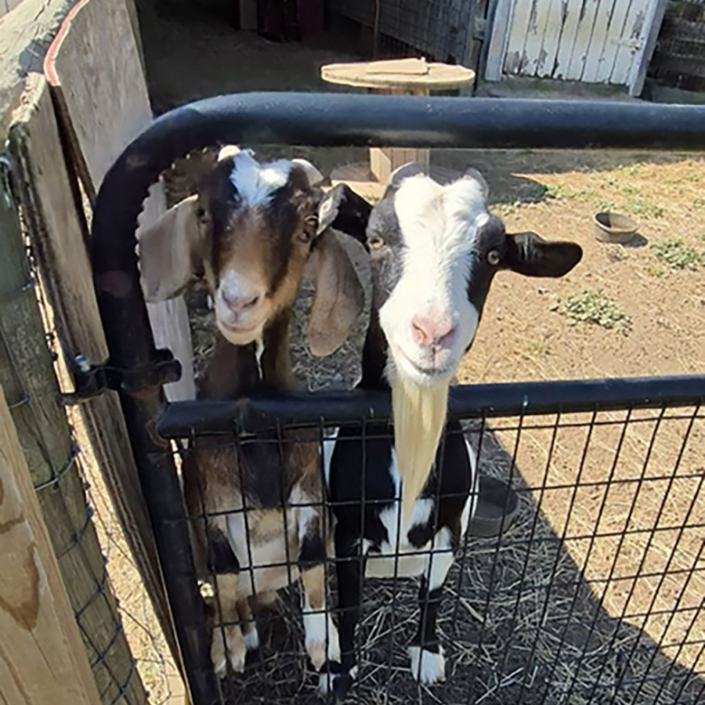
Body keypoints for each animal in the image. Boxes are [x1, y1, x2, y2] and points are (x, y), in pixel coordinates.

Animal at [138, 147, 366, 678]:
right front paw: (227, 650)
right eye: (204, 212)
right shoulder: (210, 502)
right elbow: (223, 572)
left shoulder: (308, 488)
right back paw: (242, 631)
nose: (238, 301)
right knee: (236, 594)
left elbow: (312, 560)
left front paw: (326, 643)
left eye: (307, 227)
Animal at [322, 164, 583, 697]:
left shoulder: (448, 530)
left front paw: (427, 656)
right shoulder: (349, 533)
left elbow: (435, 594)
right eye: (375, 239)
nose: (432, 333)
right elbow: (349, 603)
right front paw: (342, 669)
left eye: (492, 255)